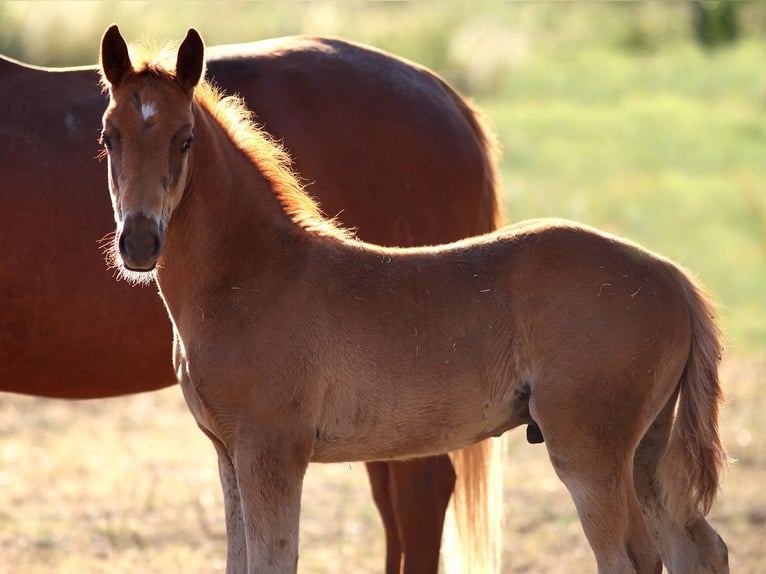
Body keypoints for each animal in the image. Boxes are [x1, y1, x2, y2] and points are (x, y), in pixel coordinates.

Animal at [99, 25, 728, 574]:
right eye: (109, 138)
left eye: (184, 139)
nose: (139, 242)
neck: (254, 275)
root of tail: (673, 277)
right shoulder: (228, 456)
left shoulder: (272, 454)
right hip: (645, 447)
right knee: (698, 545)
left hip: (588, 449)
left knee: (633, 556)